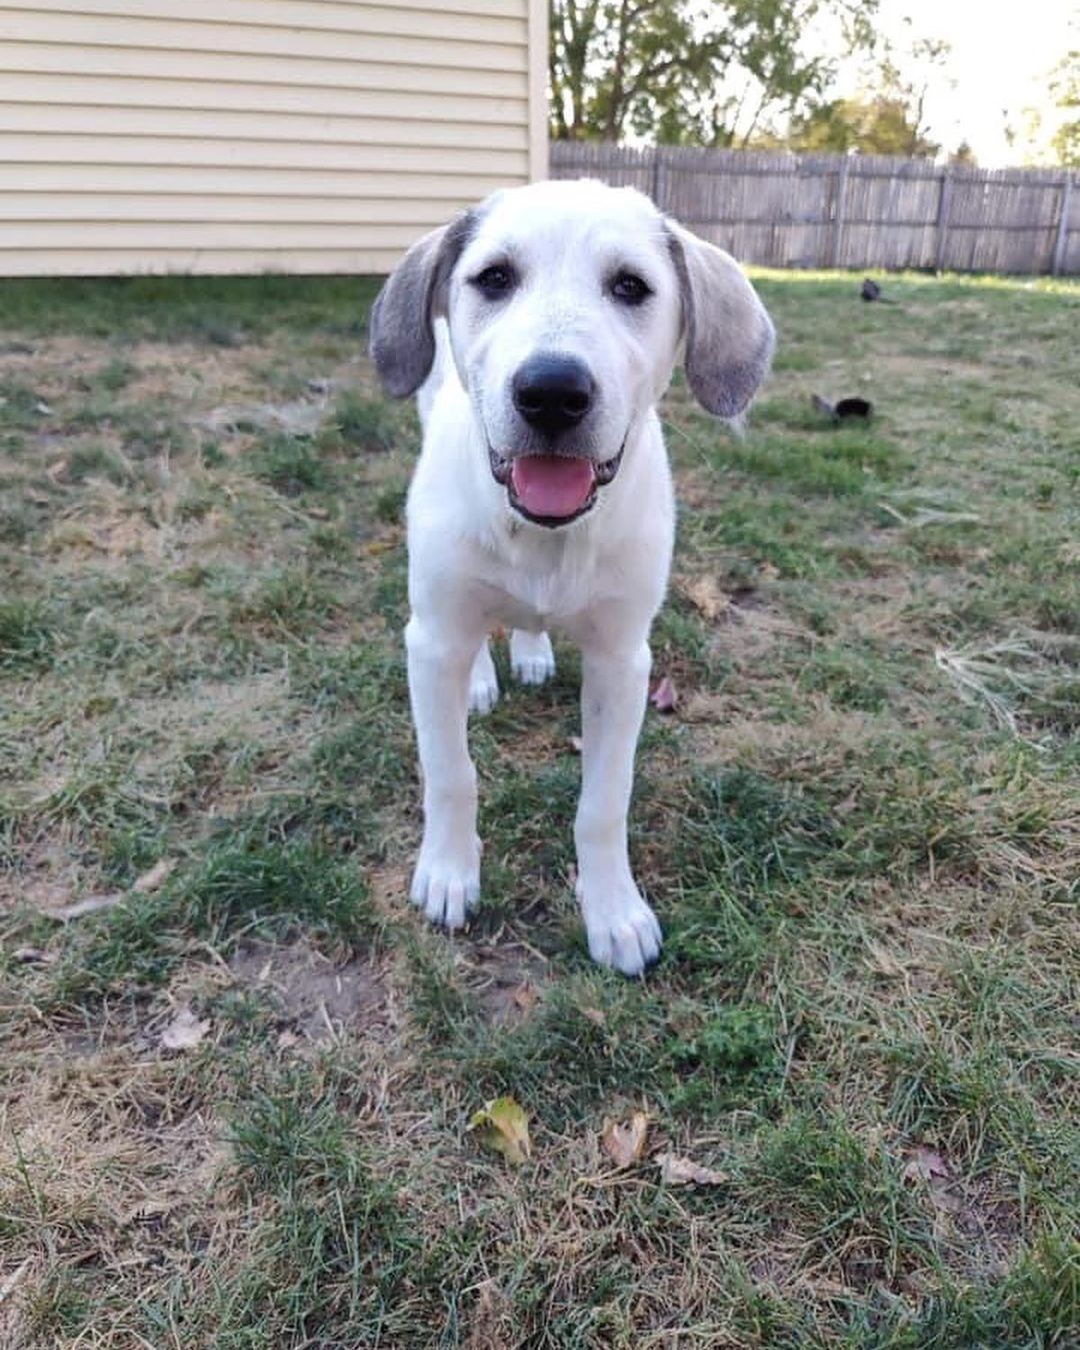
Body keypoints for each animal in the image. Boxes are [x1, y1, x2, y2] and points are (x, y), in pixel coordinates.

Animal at [372, 182, 777, 972]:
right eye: (494, 278)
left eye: (631, 287)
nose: (552, 391)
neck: (547, 535)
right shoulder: (428, 638)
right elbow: (451, 774)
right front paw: (448, 871)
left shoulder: (623, 660)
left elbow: (603, 803)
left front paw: (613, 910)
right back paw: (481, 678)